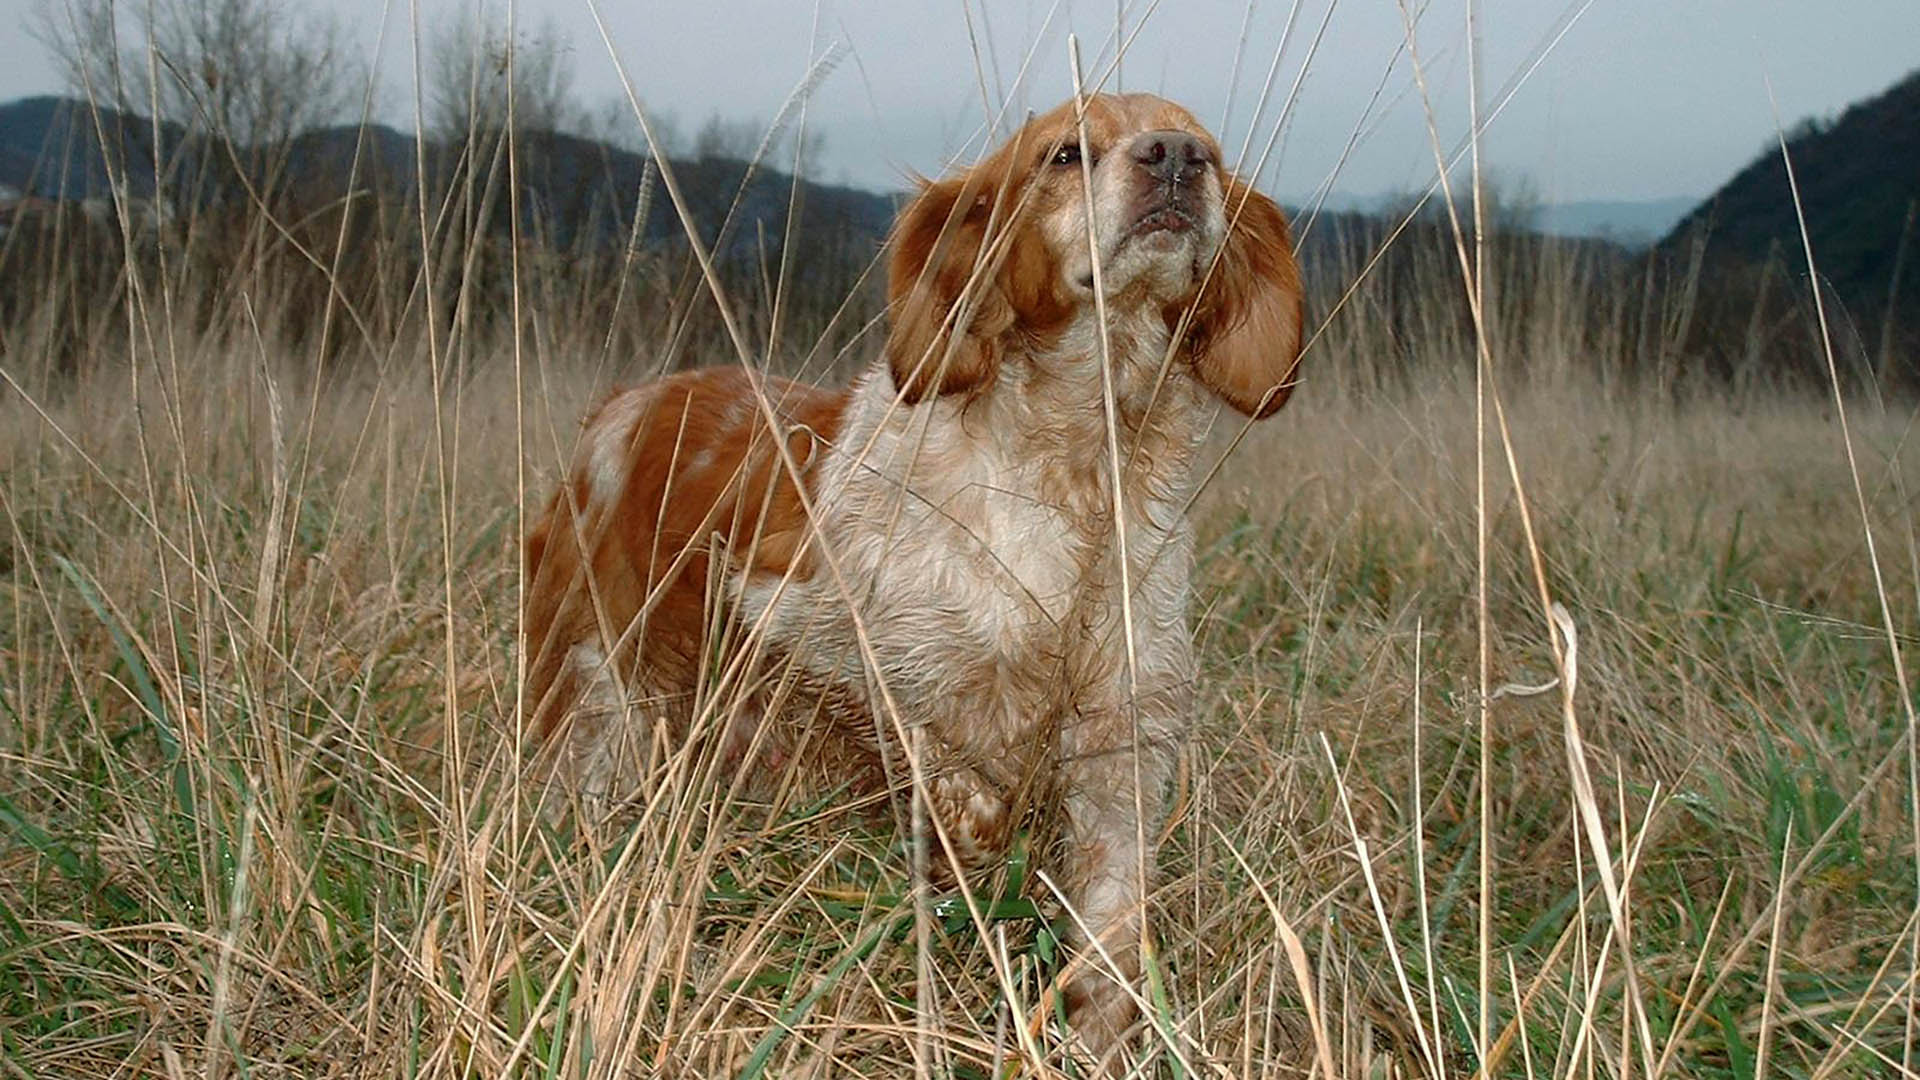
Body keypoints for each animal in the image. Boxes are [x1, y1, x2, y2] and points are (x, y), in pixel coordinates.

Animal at [522, 94, 1305, 1068]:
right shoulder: (822, 633)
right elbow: (964, 792)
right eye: (1064, 154)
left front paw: (1091, 1039)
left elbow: (1112, 927)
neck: (1078, 473)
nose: (1176, 160)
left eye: (1213, 153)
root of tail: (623, 405)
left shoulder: (1126, 736)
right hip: (601, 690)